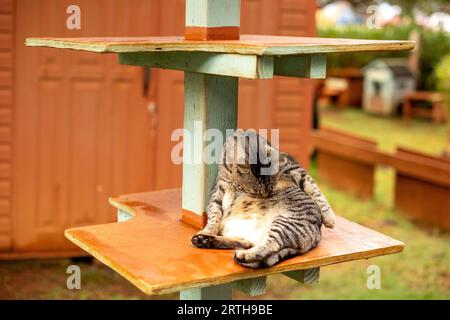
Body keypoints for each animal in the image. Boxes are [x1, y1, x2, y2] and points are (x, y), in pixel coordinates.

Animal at [190, 129, 334, 268]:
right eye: (256, 191)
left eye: (271, 188)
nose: (264, 196)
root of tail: (318, 233)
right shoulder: (219, 189)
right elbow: (214, 214)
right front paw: (208, 230)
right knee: (246, 242)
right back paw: (204, 240)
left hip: (283, 224)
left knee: (269, 245)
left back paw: (243, 255)